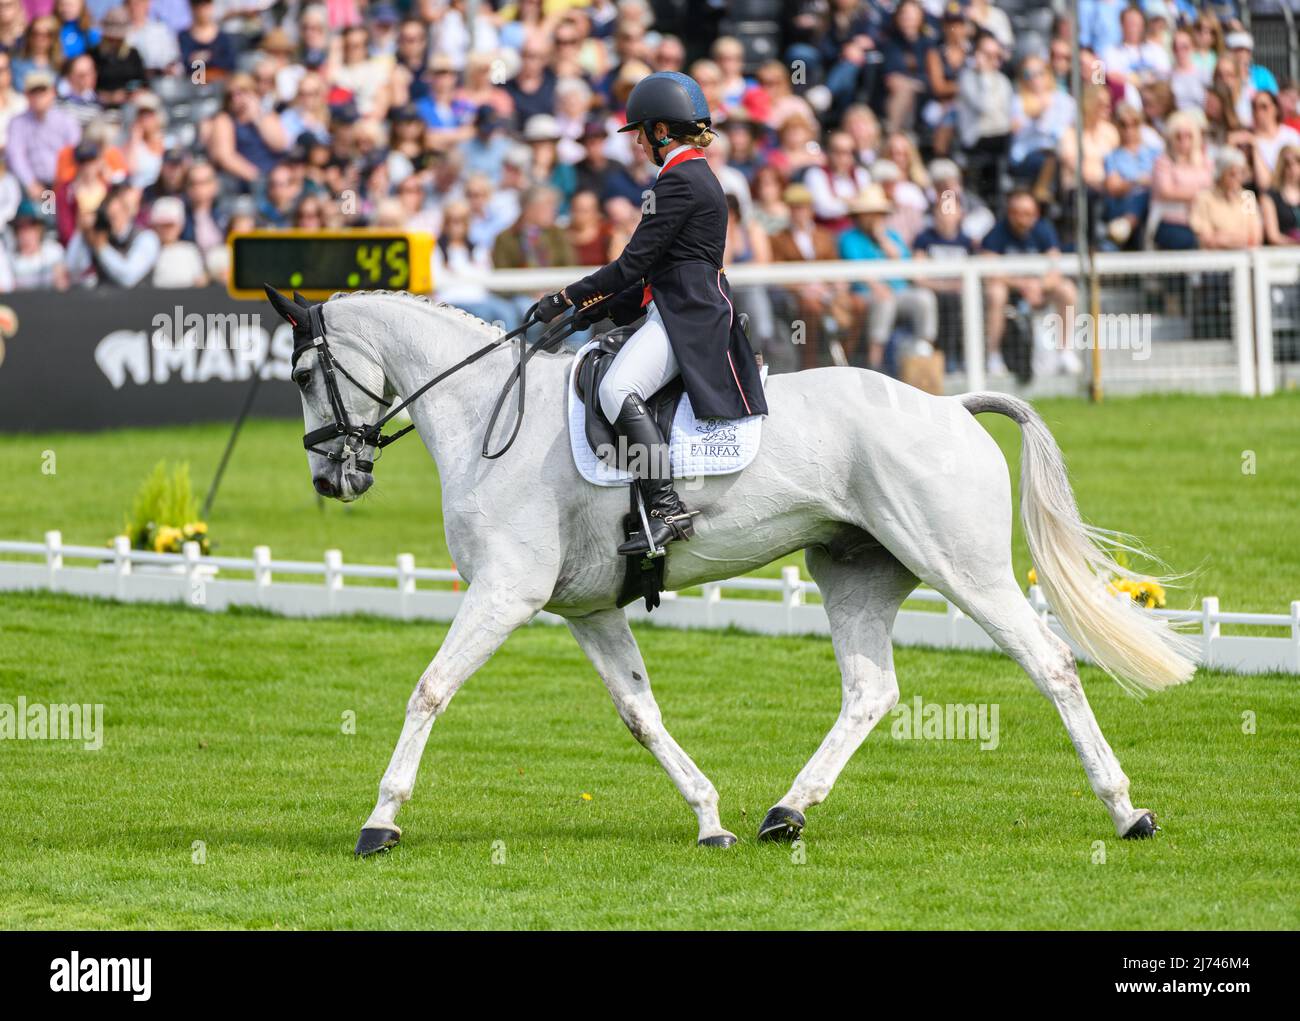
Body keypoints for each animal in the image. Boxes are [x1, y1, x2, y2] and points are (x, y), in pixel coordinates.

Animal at [266, 288, 1196, 853]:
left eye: (307, 373)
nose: (331, 479)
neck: (490, 415)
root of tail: (948, 404)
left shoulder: (505, 592)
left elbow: (430, 688)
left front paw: (380, 820)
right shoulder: (587, 609)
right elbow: (640, 714)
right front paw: (709, 817)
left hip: (960, 567)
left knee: (1050, 663)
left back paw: (1127, 809)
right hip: (854, 572)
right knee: (871, 690)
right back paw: (785, 812)